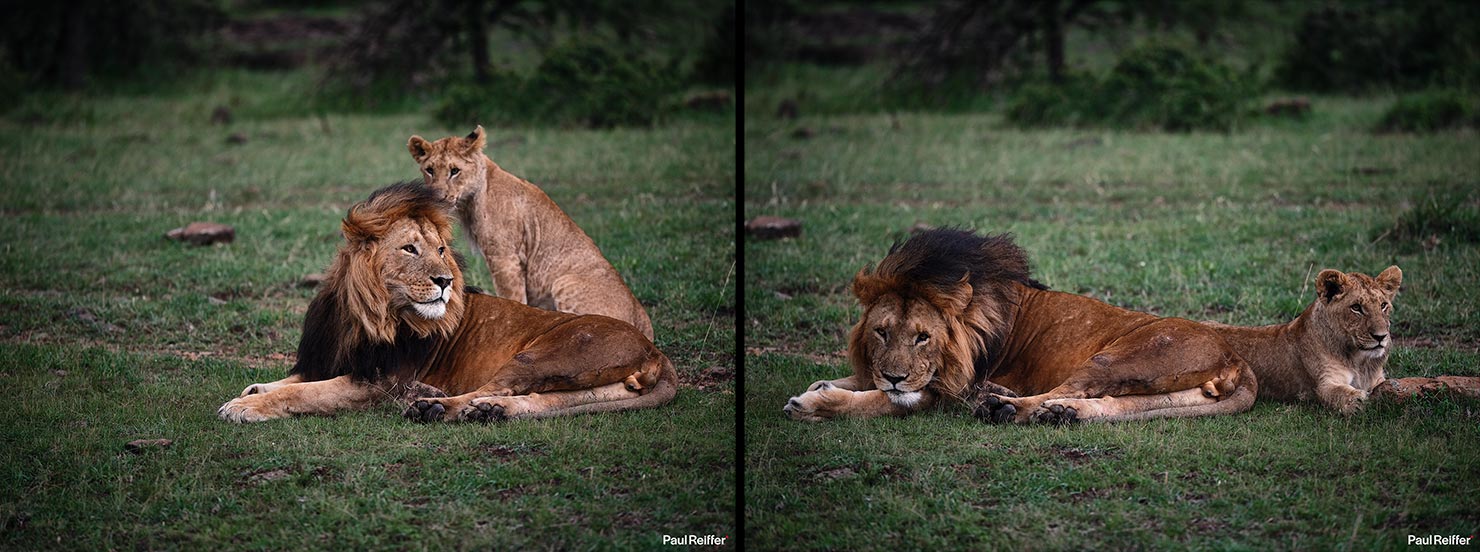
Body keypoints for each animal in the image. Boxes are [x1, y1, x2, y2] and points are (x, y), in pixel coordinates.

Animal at [217, 182, 676, 423]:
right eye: (410, 249)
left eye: (440, 250)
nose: (446, 281)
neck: (362, 315)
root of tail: (655, 351)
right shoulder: (333, 358)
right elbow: (295, 380)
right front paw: (255, 388)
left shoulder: (378, 383)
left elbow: (304, 394)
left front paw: (246, 405)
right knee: (545, 400)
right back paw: (490, 410)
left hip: (548, 352)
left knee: (494, 386)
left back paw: (432, 403)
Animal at [406, 126, 654, 340]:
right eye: (429, 170)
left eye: (455, 171)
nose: (437, 197)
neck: (470, 202)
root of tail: (645, 323)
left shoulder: (505, 259)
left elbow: (512, 298)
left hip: (564, 282)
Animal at [783, 229, 1256, 424]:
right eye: (881, 332)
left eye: (923, 337)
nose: (895, 376)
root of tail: (1236, 358)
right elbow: (859, 382)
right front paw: (822, 386)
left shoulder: (939, 390)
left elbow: (878, 402)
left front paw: (814, 404)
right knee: (1111, 404)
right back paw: (1062, 414)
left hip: (1121, 356)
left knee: (1063, 389)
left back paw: (1002, 405)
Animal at [1203, 267, 1401, 415]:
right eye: (1356, 308)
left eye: (1383, 305)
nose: (1381, 336)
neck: (1359, 360)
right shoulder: (1323, 383)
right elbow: (1339, 393)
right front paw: (1357, 400)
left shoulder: (1377, 378)